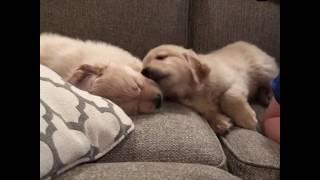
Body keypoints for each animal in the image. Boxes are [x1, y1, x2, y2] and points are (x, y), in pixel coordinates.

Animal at [141, 41, 278, 135]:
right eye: (142, 68)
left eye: (161, 57)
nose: (144, 72)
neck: (193, 89)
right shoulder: (196, 105)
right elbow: (207, 112)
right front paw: (220, 122)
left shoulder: (236, 81)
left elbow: (228, 97)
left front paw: (245, 118)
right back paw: (265, 96)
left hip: (263, 69)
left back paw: (269, 95)